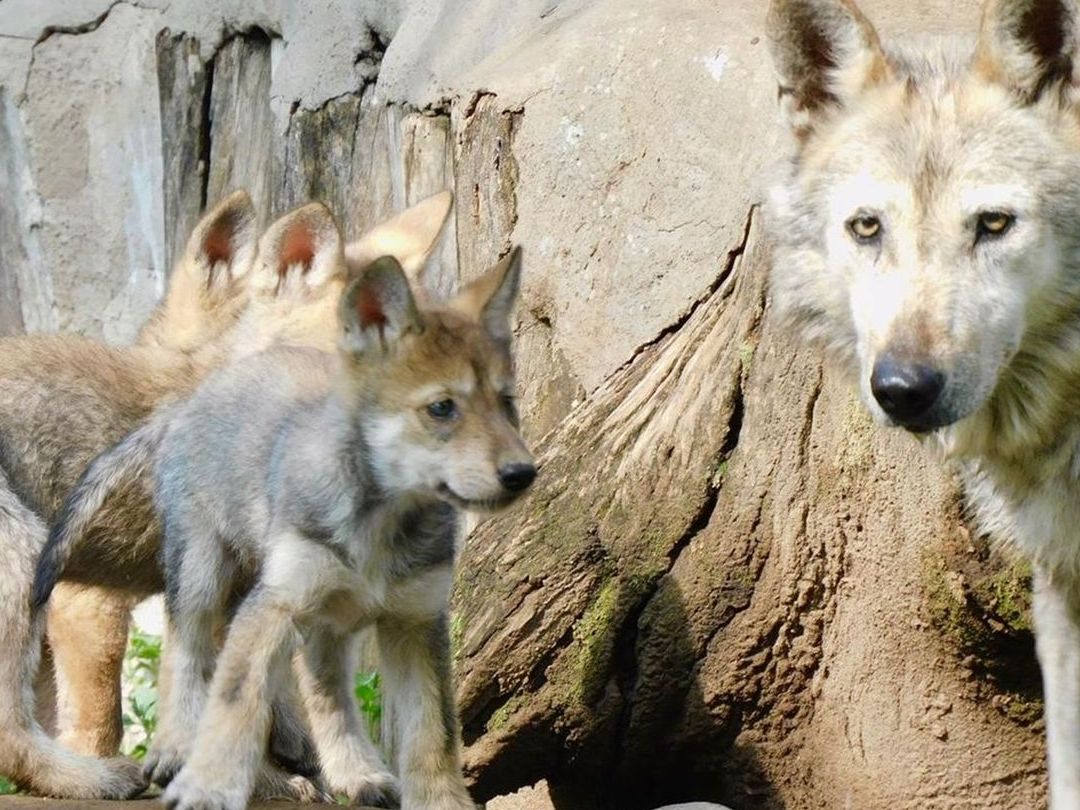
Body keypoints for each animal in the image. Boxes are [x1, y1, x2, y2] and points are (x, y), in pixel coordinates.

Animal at [43, 233, 535, 810]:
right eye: (441, 408)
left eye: (507, 403)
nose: (522, 474)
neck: (378, 523)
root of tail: (194, 395)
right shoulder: (274, 605)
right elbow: (233, 705)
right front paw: (208, 786)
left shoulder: (416, 620)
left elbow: (433, 736)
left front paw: (440, 802)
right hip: (204, 573)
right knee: (185, 651)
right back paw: (174, 746)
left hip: (328, 620)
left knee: (326, 692)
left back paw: (355, 772)